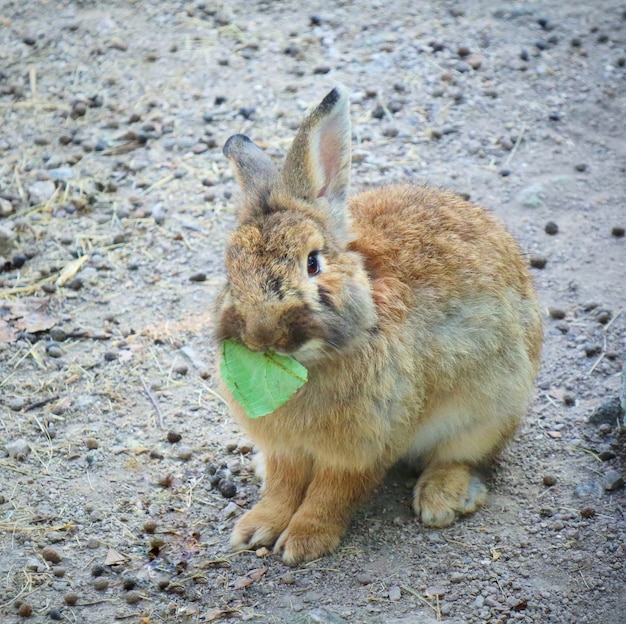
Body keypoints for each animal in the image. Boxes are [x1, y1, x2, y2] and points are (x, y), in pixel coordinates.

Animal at [214, 85, 540, 568]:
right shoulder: (285, 448)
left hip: (490, 409)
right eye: (229, 271)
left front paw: (303, 542)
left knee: (465, 457)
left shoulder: (363, 448)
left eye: (313, 263)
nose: (264, 334)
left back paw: (441, 499)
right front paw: (255, 529)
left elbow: (330, 494)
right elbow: (283, 486)